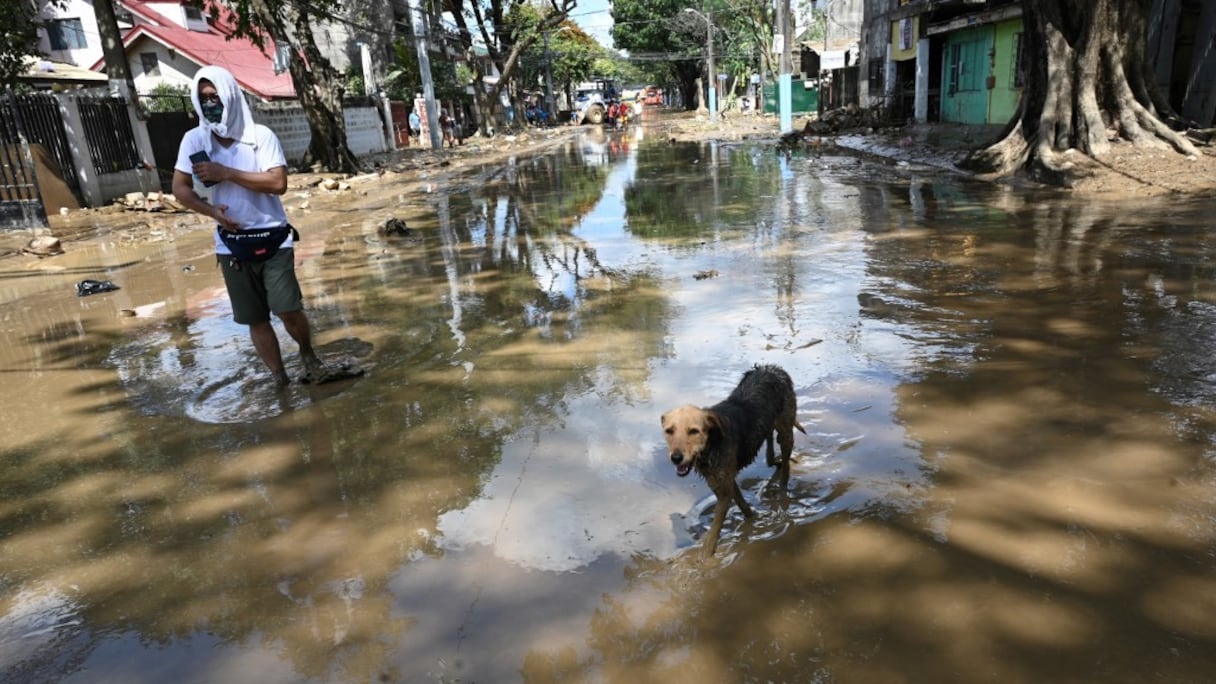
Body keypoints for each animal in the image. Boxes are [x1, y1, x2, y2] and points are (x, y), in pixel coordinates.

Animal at [661, 362, 802, 554]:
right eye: (669, 431)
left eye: (694, 431)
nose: (676, 458)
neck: (712, 441)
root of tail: (773, 368)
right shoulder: (722, 481)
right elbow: (743, 506)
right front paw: (754, 519)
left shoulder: (724, 489)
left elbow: (713, 532)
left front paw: (705, 556)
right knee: (769, 445)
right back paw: (773, 463)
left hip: (786, 431)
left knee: (786, 464)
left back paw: (782, 490)